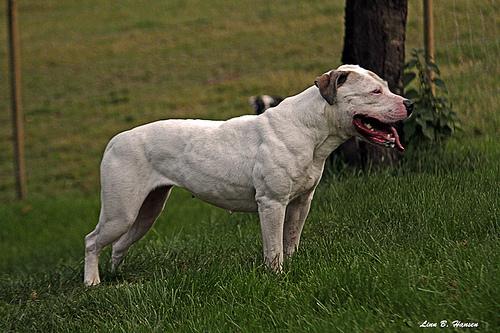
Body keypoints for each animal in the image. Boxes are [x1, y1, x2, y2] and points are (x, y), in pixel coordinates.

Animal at [84, 65, 414, 286]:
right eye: (375, 92)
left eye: (385, 86)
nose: (409, 104)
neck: (311, 128)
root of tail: (114, 141)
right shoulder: (272, 203)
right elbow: (274, 248)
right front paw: (277, 276)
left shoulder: (301, 203)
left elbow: (290, 240)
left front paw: (293, 265)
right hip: (121, 212)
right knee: (92, 241)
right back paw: (92, 283)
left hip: (146, 211)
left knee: (118, 244)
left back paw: (115, 275)